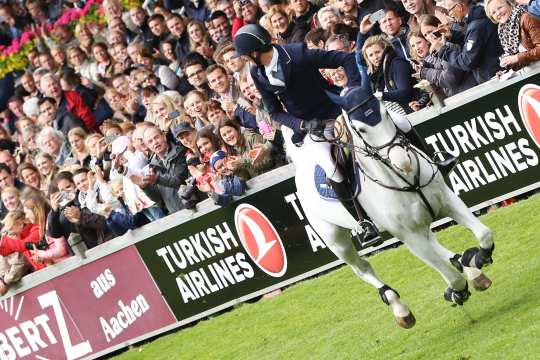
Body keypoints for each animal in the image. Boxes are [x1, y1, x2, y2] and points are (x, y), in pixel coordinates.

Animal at [284, 87, 496, 330]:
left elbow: (484, 234)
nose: (403, 162)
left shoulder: (447, 201)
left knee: (433, 242)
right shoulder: (409, 236)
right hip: (335, 239)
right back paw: (399, 307)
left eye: (385, 114)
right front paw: (456, 292)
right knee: (362, 268)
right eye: (360, 129)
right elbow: (453, 278)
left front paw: (478, 257)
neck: (405, 179)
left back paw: (466, 266)